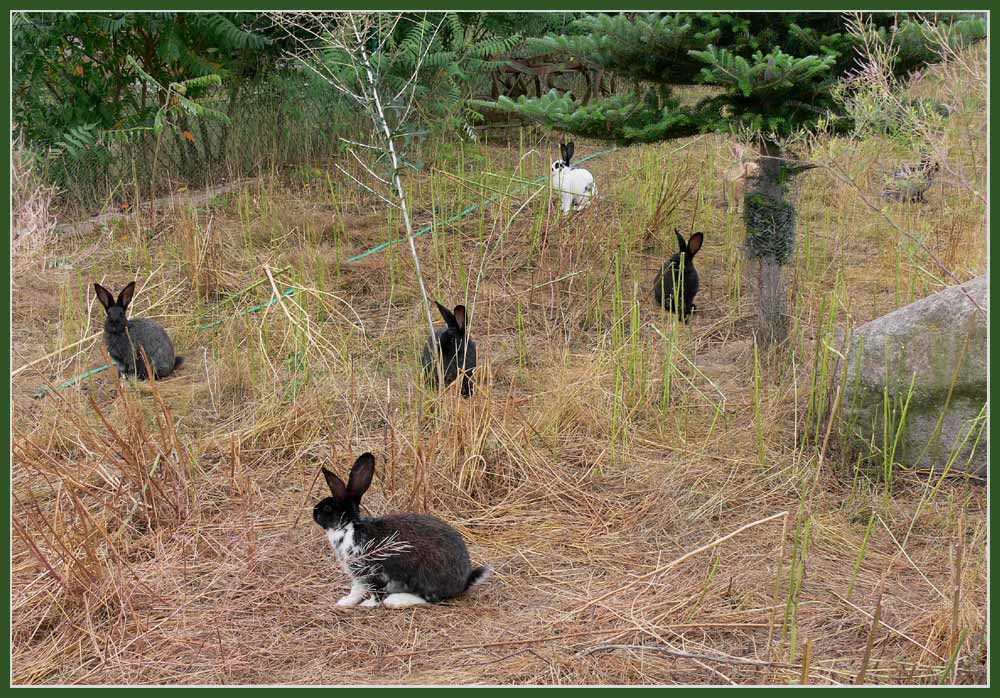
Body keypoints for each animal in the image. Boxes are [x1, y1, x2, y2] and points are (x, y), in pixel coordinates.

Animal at [312, 452, 492, 604]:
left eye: (327, 508)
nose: (314, 512)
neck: (348, 527)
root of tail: (463, 583)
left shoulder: (371, 571)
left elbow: (374, 592)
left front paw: (366, 604)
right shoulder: (358, 576)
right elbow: (356, 590)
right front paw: (345, 602)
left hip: (424, 575)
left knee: (429, 599)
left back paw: (396, 601)